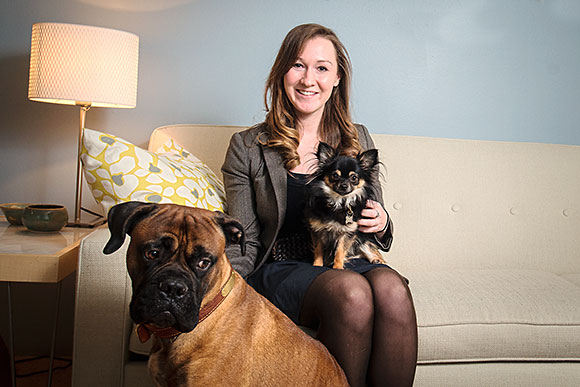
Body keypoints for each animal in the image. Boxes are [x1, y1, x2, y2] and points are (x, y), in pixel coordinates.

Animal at [306, 142, 388, 270]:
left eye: (354, 178)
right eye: (335, 175)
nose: (344, 185)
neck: (339, 201)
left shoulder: (348, 233)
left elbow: (340, 251)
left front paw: (338, 267)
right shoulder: (316, 230)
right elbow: (318, 250)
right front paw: (317, 265)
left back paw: (378, 260)